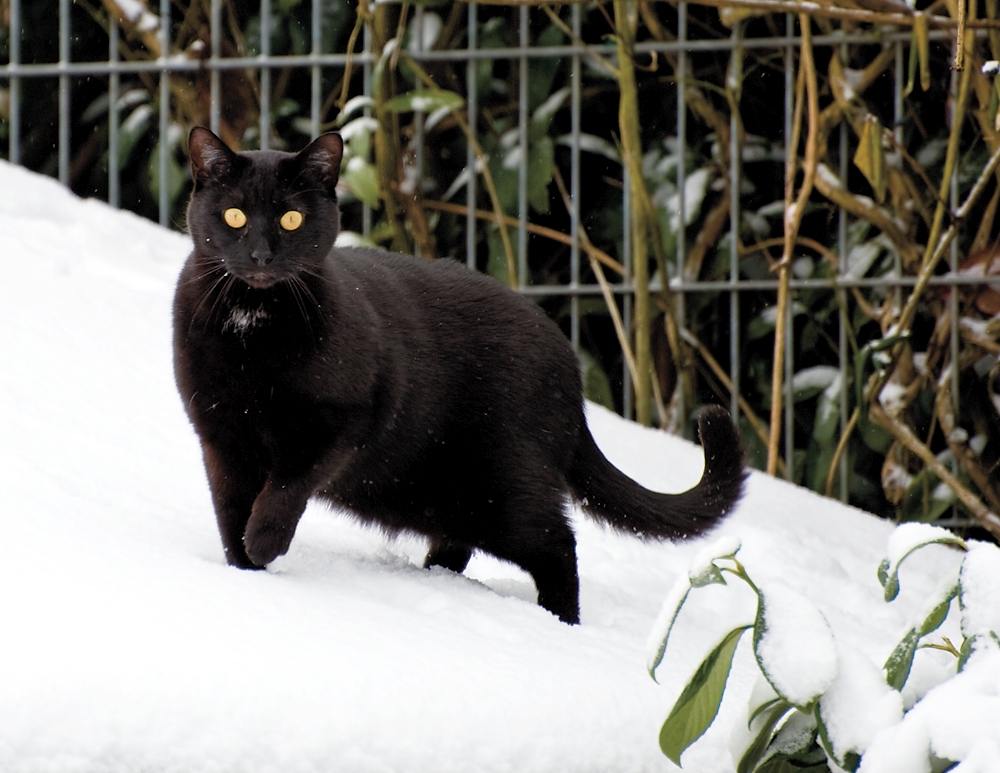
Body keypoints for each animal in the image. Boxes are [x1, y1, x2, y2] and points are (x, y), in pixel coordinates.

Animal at [176, 125, 748, 620]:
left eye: (291, 220)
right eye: (234, 216)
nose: (260, 255)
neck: (253, 328)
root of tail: (568, 364)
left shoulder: (340, 422)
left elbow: (286, 486)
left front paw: (263, 543)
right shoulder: (220, 435)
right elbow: (231, 505)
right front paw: (244, 571)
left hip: (499, 486)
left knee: (556, 544)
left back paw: (558, 623)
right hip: (429, 493)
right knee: (461, 544)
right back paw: (437, 581)